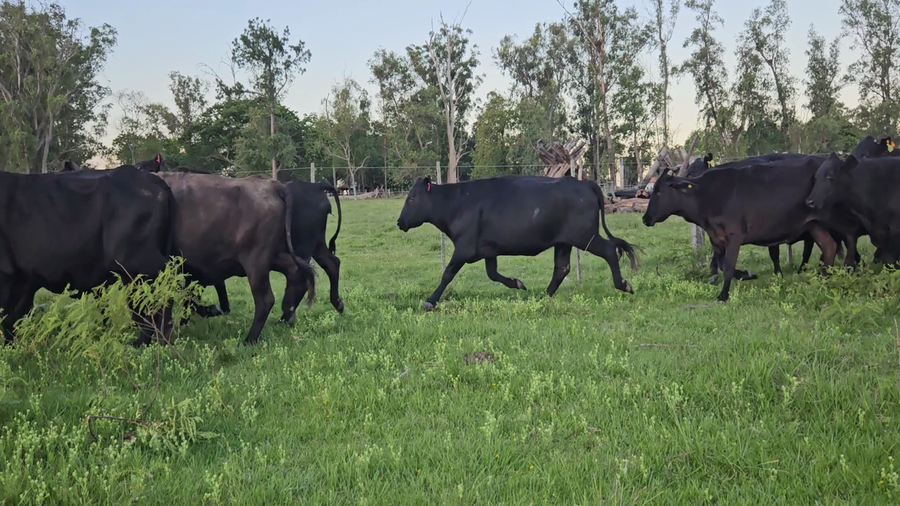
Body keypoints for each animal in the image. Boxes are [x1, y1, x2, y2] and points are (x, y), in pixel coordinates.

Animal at [0, 165, 177, 345]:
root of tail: (149, 178)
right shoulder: (25, 281)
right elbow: (12, 319)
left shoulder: (8, 276)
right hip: (132, 273)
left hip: (139, 261)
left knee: (165, 284)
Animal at [396, 175, 638, 311]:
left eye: (412, 198)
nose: (400, 222)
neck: (457, 202)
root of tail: (585, 183)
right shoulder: (488, 250)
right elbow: (493, 274)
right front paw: (518, 283)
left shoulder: (463, 248)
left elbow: (447, 274)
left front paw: (430, 300)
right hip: (564, 242)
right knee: (562, 268)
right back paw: (542, 296)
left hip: (585, 236)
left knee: (610, 250)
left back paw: (623, 284)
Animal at [642, 161, 841, 302]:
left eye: (659, 191)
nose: (645, 218)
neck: (707, 196)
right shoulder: (716, 238)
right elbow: (722, 265)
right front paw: (747, 275)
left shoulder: (734, 235)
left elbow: (729, 265)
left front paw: (723, 296)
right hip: (814, 225)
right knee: (829, 247)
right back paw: (824, 280)